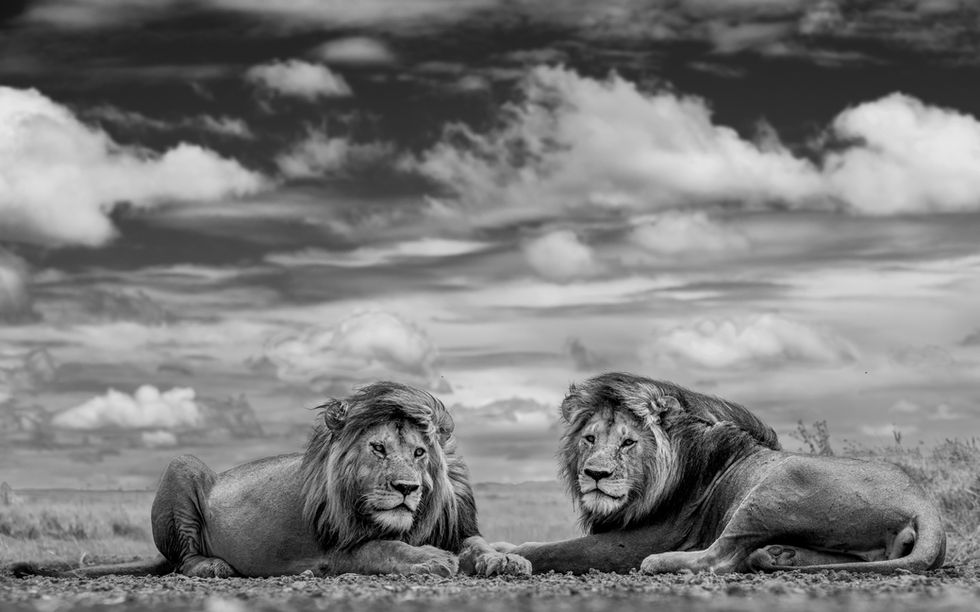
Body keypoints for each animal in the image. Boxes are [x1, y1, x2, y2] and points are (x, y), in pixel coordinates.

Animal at [13, 382, 530, 578]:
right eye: (378, 448)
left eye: (420, 453)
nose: (407, 489)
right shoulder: (335, 550)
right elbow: (384, 548)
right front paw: (430, 559)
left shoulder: (458, 525)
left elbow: (478, 543)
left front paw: (505, 559)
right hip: (182, 465)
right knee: (182, 561)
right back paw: (212, 566)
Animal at [496, 372, 945, 574]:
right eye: (589, 439)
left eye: (628, 443)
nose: (595, 474)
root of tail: (927, 508)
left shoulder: (637, 539)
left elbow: (554, 548)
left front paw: (505, 553)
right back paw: (779, 555)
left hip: (773, 489)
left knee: (719, 557)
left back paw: (662, 563)